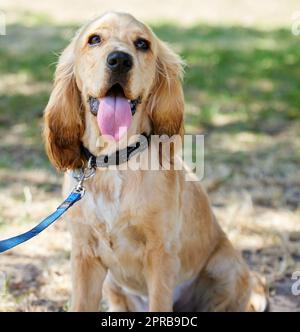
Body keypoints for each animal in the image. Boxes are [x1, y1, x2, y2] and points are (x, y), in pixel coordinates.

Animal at [42, 11, 268, 312]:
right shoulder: (84, 255)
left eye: (142, 44)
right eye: (94, 39)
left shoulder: (160, 253)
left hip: (228, 269)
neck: (116, 160)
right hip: (114, 286)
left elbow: (160, 303)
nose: (120, 60)